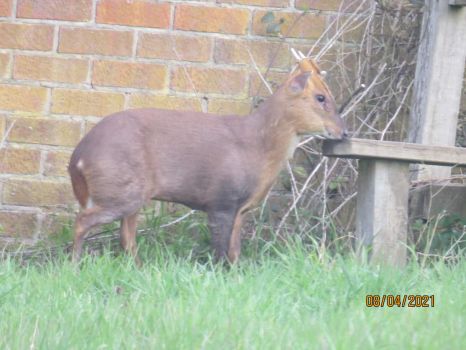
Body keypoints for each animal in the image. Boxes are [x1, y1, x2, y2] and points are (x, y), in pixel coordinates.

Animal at [68, 54, 346, 264]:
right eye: (321, 97)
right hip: (120, 188)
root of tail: (77, 159)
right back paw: (74, 265)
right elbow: (221, 249)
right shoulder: (221, 199)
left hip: (129, 193)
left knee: (126, 236)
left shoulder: (241, 208)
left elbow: (235, 250)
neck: (258, 148)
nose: (343, 132)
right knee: (84, 220)